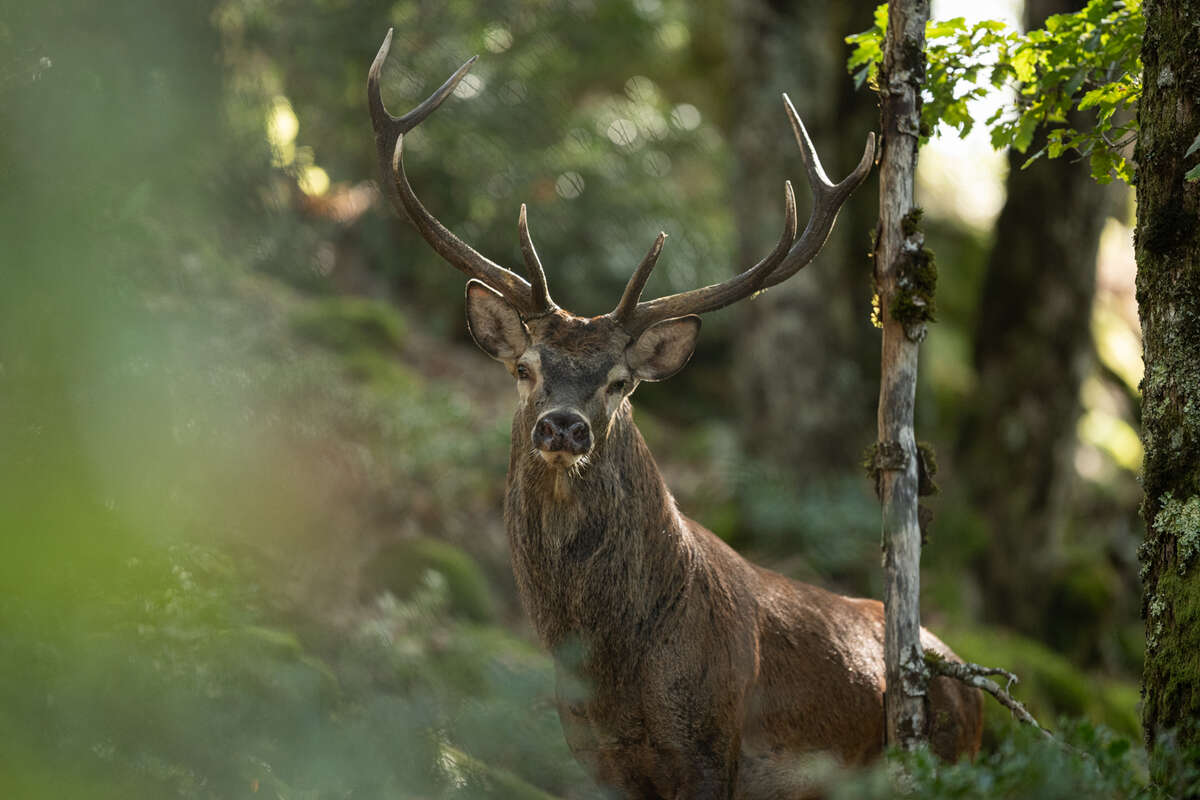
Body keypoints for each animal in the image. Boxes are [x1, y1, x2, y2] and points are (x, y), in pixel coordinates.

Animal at [367, 29, 982, 799]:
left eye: (621, 383)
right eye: (525, 367)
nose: (563, 425)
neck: (614, 666)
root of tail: (972, 689)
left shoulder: (710, 748)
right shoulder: (594, 757)